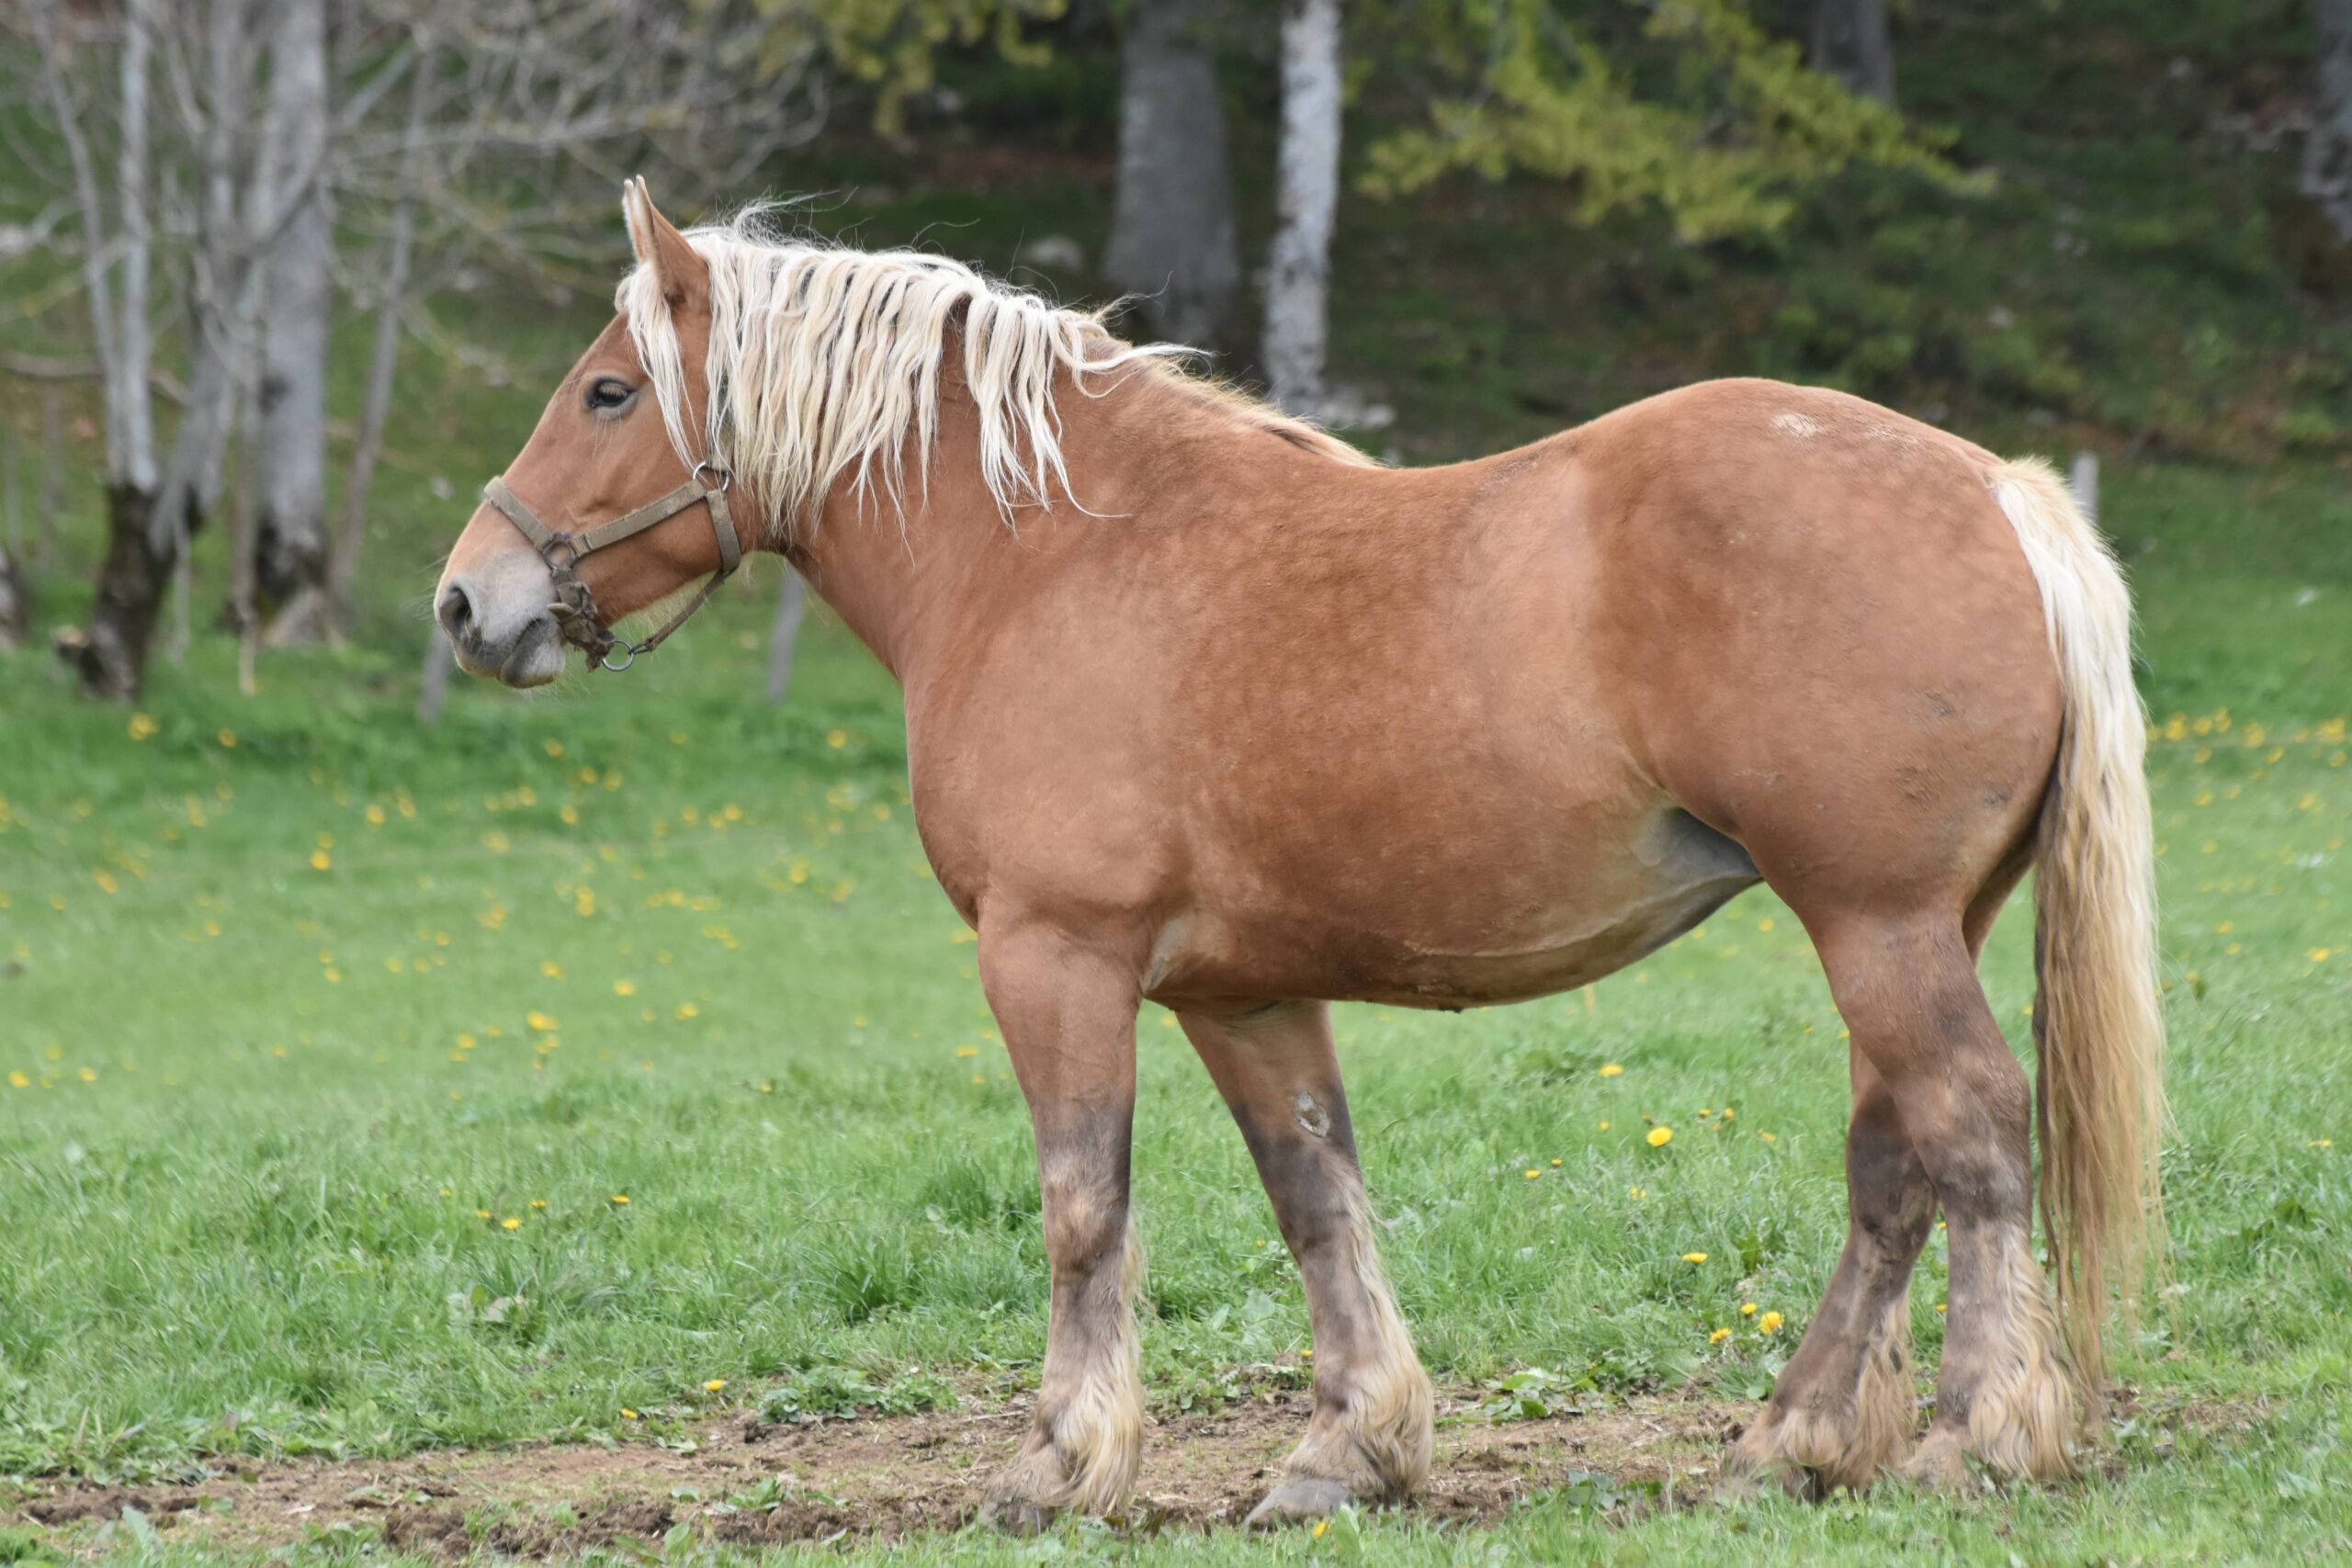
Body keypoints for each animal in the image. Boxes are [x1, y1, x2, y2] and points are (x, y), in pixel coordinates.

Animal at [434, 180, 2162, 1526]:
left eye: (606, 391)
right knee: (1895, 1166)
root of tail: (1999, 491)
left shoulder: (1055, 957)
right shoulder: (1243, 994)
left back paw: (1972, 1437)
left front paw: (1061, 1460)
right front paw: (1350, 1451)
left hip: (1878, 923)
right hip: (1907, 926)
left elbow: (1083, 1208)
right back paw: (1792, 1441)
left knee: (1975, 1135)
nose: (467, 600)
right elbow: (1317, 1198)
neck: (1043, 556)